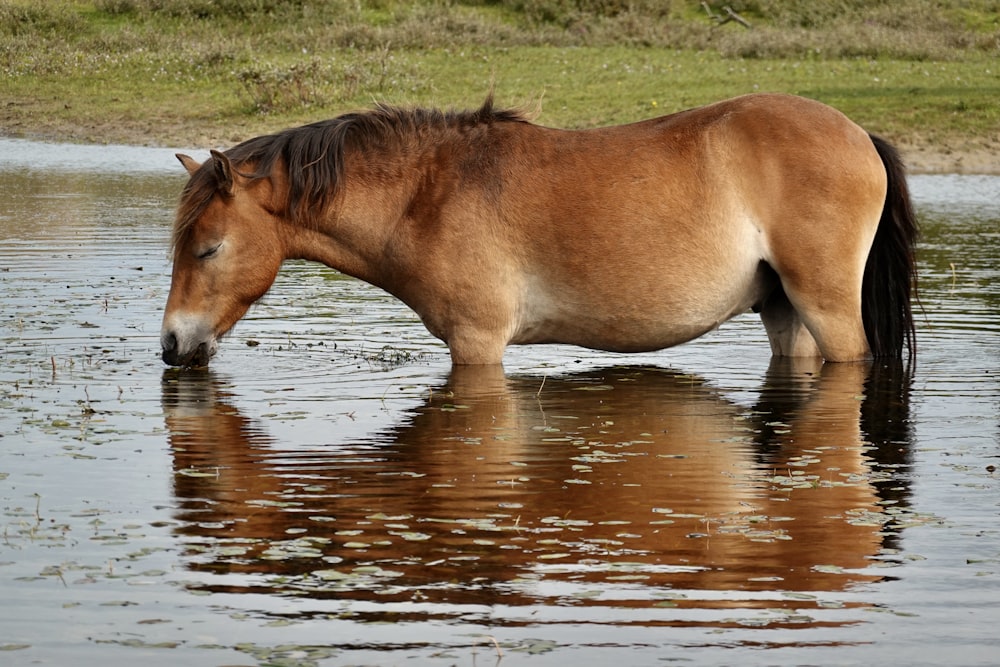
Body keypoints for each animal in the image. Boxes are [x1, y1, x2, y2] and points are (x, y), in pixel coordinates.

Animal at [160, 92, 916, 368]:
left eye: (208, 247)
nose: (171, 344)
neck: (428, 194)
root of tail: (858, 134)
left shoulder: (477, 344)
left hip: (825, 307)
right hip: (784, 312)